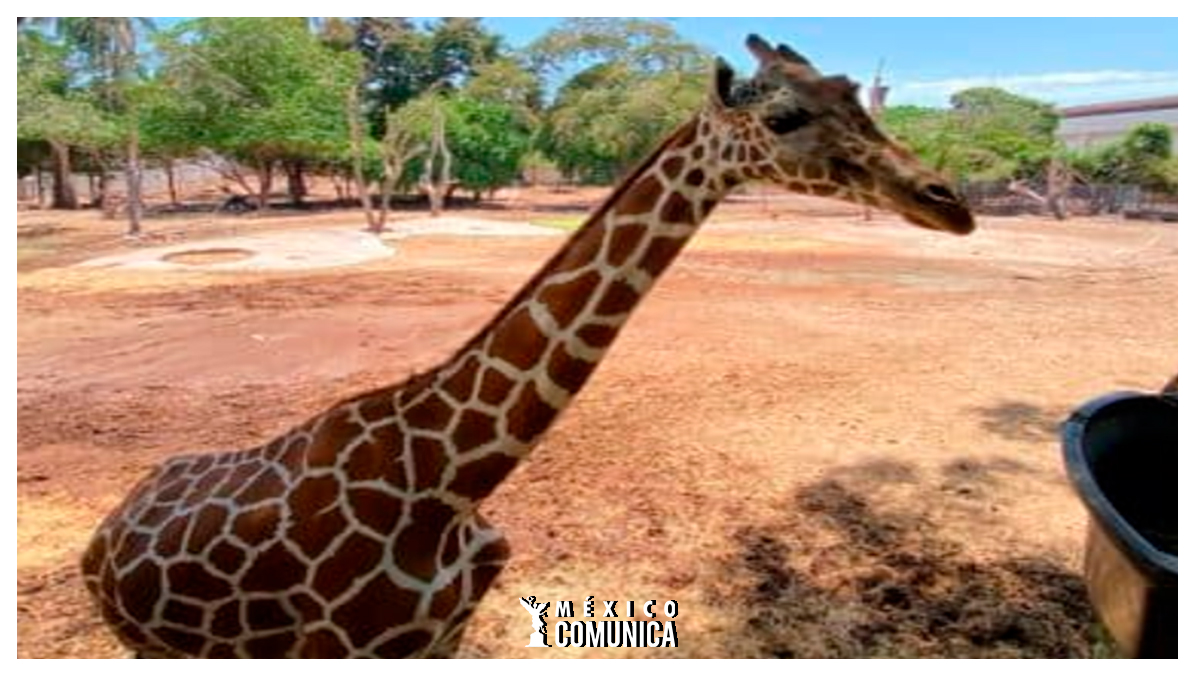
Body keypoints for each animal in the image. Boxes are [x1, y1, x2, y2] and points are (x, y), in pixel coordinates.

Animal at [80, 35, 974, 658]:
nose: (951, 201)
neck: (446, 481)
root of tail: (106, 530)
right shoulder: (343, 645)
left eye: (856, 97)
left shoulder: (442, 635)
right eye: (786, 116)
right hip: (146, 642)